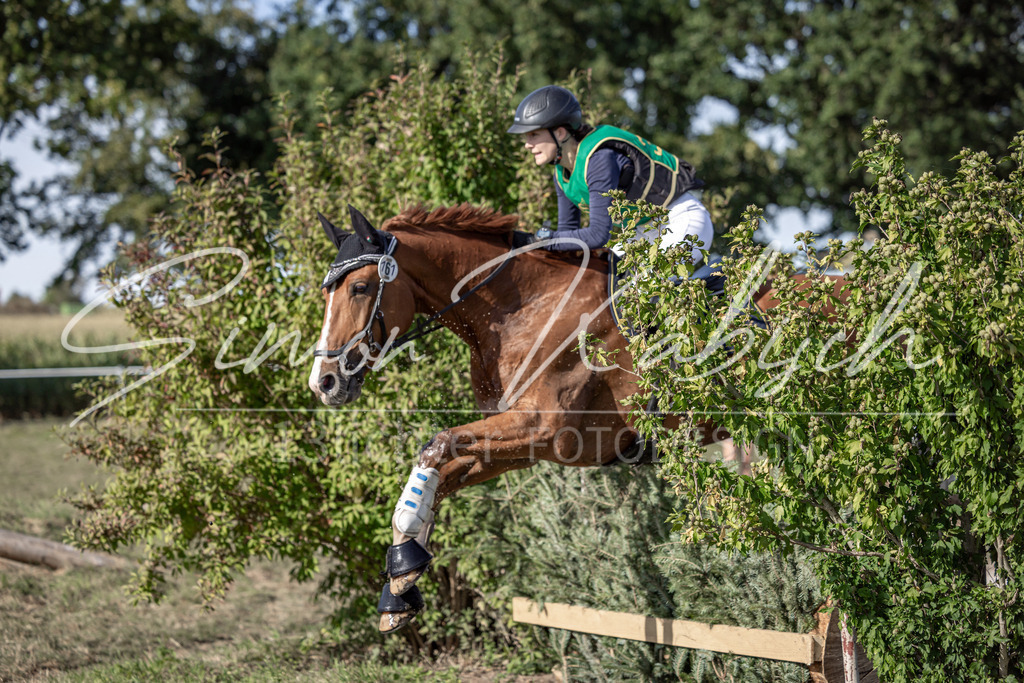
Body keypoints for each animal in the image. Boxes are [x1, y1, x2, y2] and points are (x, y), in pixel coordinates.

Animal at [307, 204, 814, 634]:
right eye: (328, 291)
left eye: (360, 287)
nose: (323, 383)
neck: (521, 308)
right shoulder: (518, 445)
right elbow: (437, 478)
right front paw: (401, 583)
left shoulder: (542, 430)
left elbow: (436, 446)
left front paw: (401, 576)